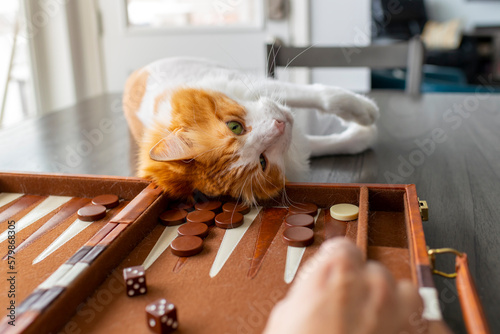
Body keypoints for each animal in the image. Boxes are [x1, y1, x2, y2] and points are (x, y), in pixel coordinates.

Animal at [123, 57, 376, 204]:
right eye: (262, 161)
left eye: (234, 126)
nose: (279, 125)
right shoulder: (293, 146)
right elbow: (319, 144)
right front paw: (362, 136)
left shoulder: (249, 84)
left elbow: (323, 96)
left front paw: (365, 111)